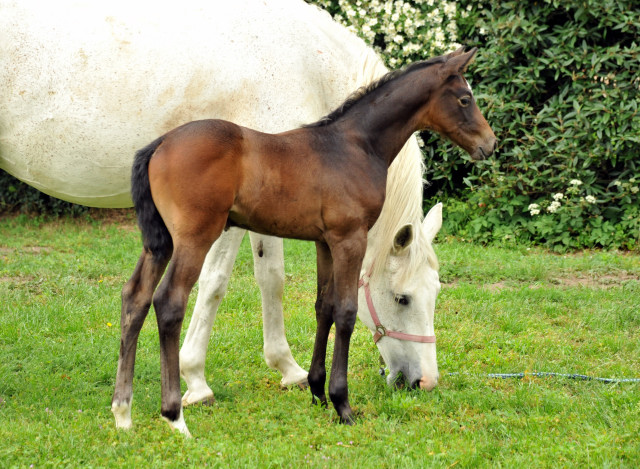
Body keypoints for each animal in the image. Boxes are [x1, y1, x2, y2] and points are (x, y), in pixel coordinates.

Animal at [0, 0, 442, 432]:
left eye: (435, 293)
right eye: (401, 298)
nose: (423, 382)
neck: (304, 61)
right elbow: (245, 280)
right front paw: (226, 376)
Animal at [112, 47, 498, 436]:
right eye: (465, 99)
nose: (489, 144)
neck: (355, 146)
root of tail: (159, 144)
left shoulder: (324, 242)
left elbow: (323, 307)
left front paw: (317, 392)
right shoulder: (350, 239)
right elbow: (345, 312)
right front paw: (342, 404)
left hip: (159, 243)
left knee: (135, 297)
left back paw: (123, 413)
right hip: (193, 238)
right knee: (168, 302)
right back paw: (175, 416)